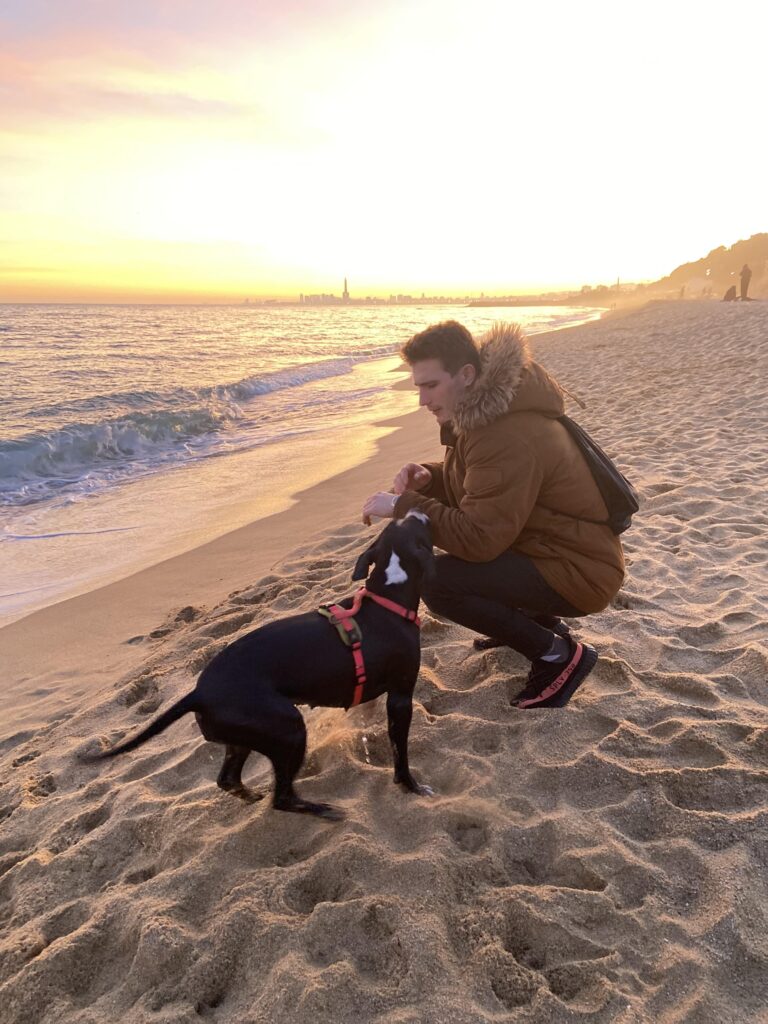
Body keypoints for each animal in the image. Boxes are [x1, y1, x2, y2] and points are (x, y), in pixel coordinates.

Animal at [91, 512, 434, 823]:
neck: (388, 596)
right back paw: (320, 809)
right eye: (420, 530)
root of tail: (198, 693)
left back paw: (252, 795)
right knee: (281, 797)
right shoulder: (400, 698)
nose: (418, 510)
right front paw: (411, 786)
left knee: (229, 779)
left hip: (244, 736)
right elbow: (400, 753)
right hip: (289, 729)